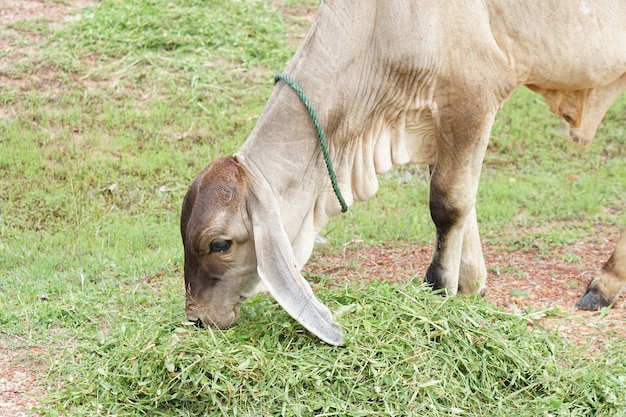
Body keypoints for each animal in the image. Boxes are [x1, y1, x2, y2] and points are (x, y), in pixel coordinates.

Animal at [180, 0, 624, 344]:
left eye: (220, 244)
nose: (196, 317)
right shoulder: (439, 125)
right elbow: (464, 205)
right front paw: (470, 288)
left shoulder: (471, 100)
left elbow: (448, 203)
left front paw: (437, 292)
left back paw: (604, 283)